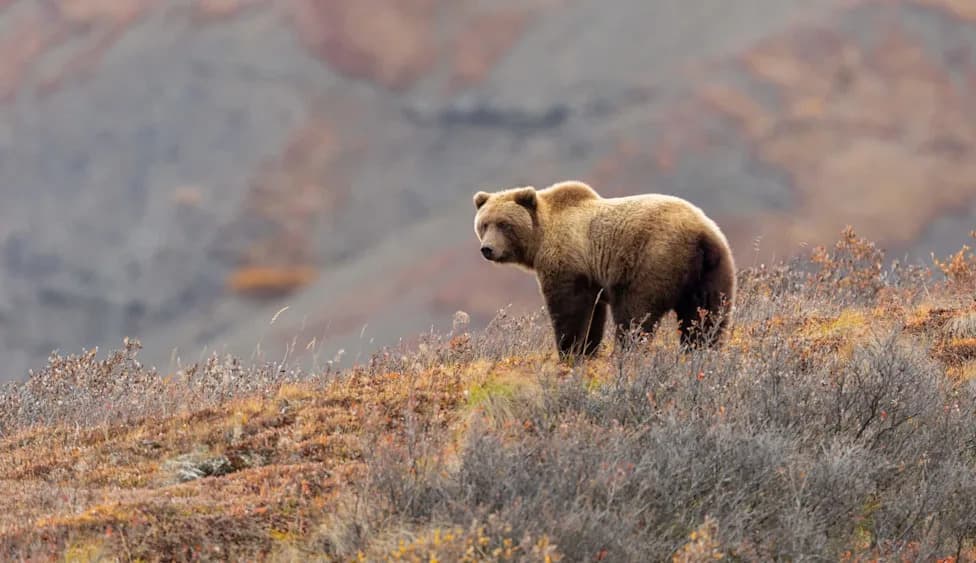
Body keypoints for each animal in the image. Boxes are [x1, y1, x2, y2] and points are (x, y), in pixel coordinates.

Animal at [473, 180, 736, 357]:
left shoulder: (568, 262)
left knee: (634, 314)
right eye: (484, 224)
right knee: (707, 315)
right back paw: (700, 351)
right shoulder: (591, 278)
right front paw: (587, 350)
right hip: (713, 270)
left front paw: (570, 352)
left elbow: (569, 310)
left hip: (653, 260)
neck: (540, 238)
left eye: (504, 224)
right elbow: (593, 315)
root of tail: (700, 234)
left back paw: (626, 352)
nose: (487, 249)